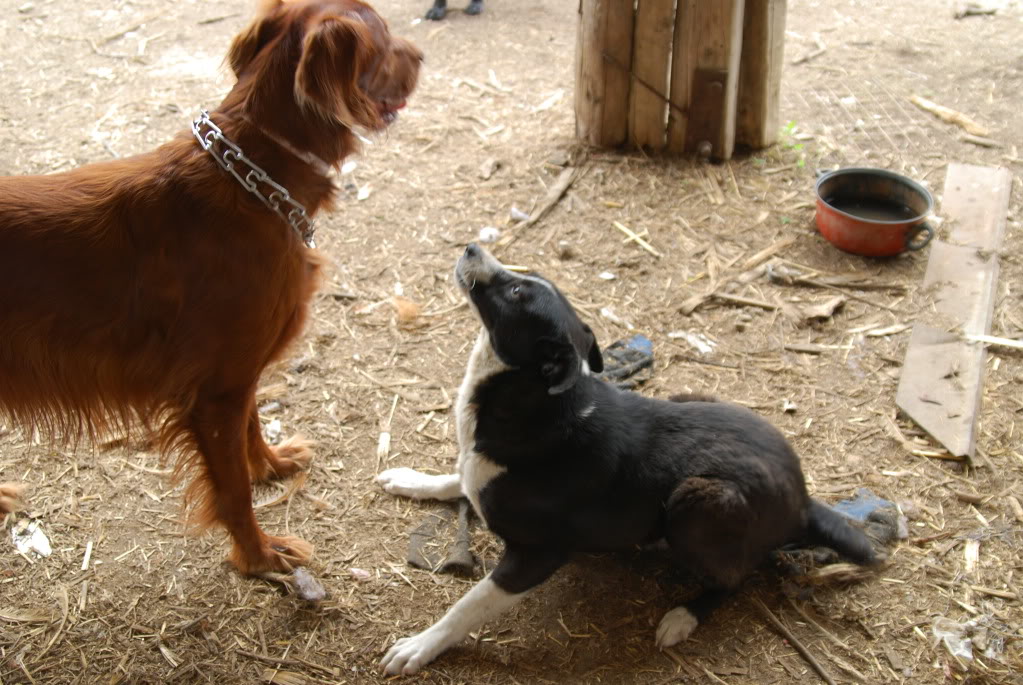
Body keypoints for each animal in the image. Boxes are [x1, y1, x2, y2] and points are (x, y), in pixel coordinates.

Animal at [0, 0, 419, 576]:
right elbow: (234, 489)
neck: (254, 173)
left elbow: (253, 428)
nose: (421, 56)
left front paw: (272, 465)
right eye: (386, 36)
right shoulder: (215, 392)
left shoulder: (238, 376)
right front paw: (259, 556)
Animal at [378, 245, 879, 674]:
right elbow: (456, 477)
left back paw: (683, 615)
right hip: (693, 400)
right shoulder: (476, 469)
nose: (472, 247)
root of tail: (805, 500)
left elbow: (468, 605)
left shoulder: (536, 556)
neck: (530, 399)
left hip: (698, 501)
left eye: (518, 293)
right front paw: (410, 479)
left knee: (734, 578)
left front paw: (420, 646)